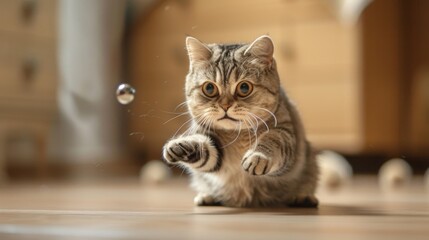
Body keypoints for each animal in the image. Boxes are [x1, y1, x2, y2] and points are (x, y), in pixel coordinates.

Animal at [162, 35, 320, 208]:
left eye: (244, 87)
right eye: (209, 88)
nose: (225, 106)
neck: (238, 135)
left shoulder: (284, 132)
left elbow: (271, 141)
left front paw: (258, 156)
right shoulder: (213, 144)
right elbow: (203, 147)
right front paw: (180, 145)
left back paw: (303, 197)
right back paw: (207, 196)